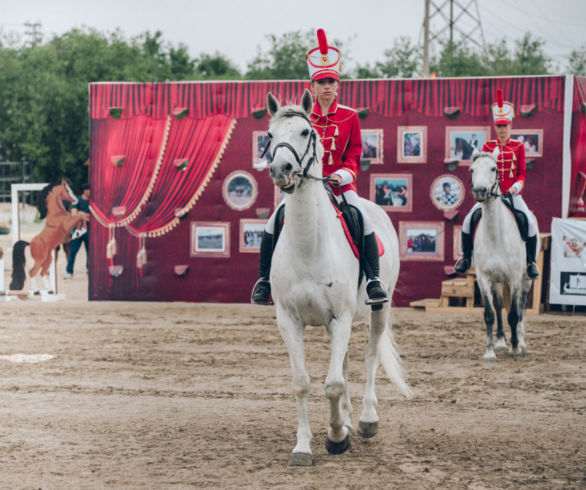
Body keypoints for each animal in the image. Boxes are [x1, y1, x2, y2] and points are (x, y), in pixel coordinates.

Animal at [264, 90, 410, 466]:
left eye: (306, 132)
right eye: (270, 135)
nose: (281, 170)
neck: (308, 244)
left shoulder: (341, 317)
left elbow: (332, 383)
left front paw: (336, 438)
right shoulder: (289, 320)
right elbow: (303, 382)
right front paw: (304, 446)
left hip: (378, 308)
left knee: (370, 356)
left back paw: (365, 420)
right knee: (342, 366)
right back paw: (344, 417)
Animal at [468, 149, 536, 360]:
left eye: (493, 168)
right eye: (472, 169)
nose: (480, 191)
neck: (496, 236)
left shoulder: (514, 278)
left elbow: (513, 314)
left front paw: (515, 347)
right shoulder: (483, 278)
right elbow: (489, 313)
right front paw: (490, 351)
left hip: (525, 279)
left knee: (521, 307)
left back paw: (520, 342)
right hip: (497, 281)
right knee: (498, 305)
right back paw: (500, 342)